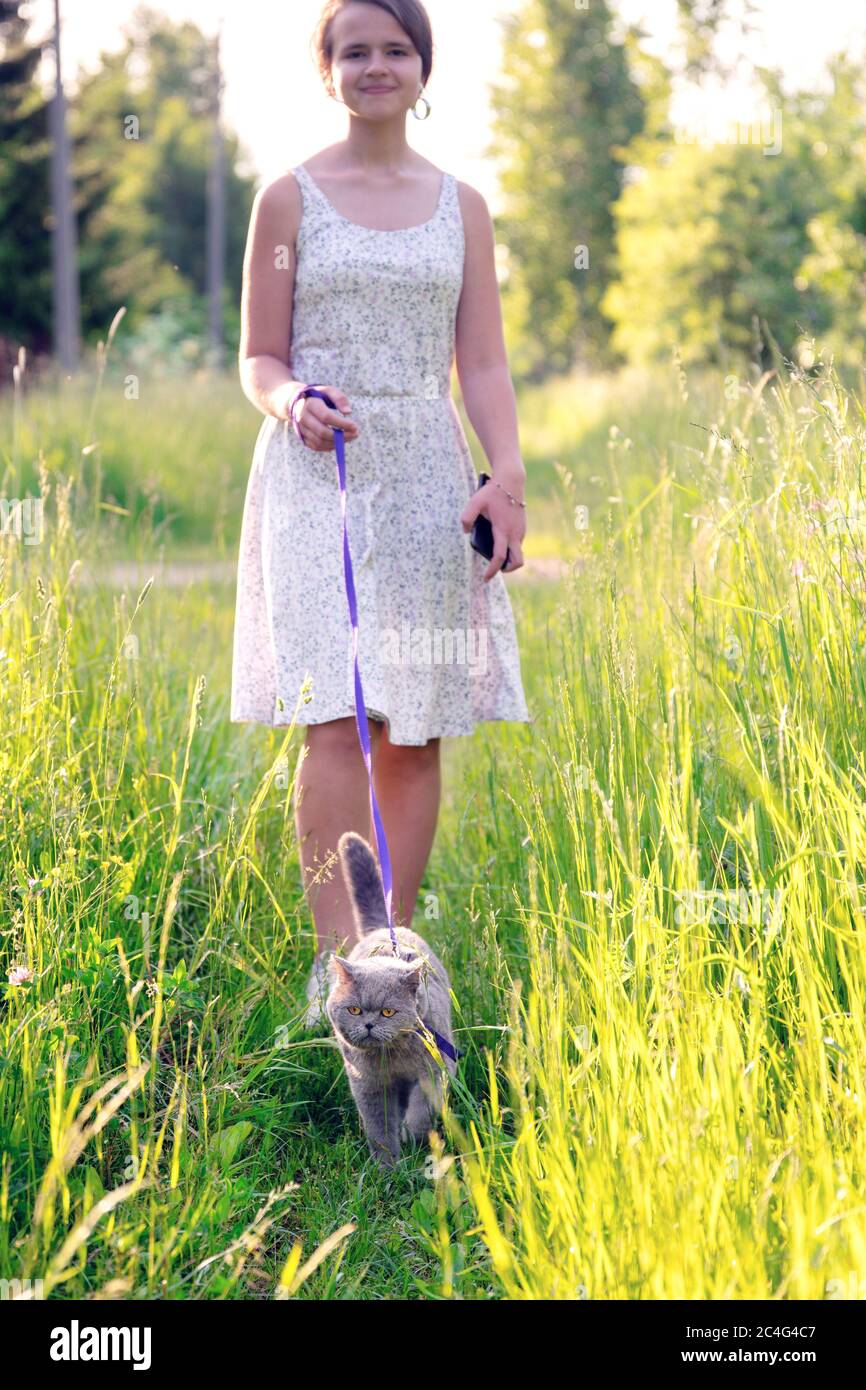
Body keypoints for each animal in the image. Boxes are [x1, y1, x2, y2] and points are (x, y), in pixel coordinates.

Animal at [325, 828, 458, 1167]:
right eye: (354, 1010)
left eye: (388, 1012)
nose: (369, 1025)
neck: (392, 1058)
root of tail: (382, 928)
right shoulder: (367, 1085)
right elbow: (379, 1127)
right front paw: (386, 1167)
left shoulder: (435, 1069)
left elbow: (422, 1109)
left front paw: (412, 1134)